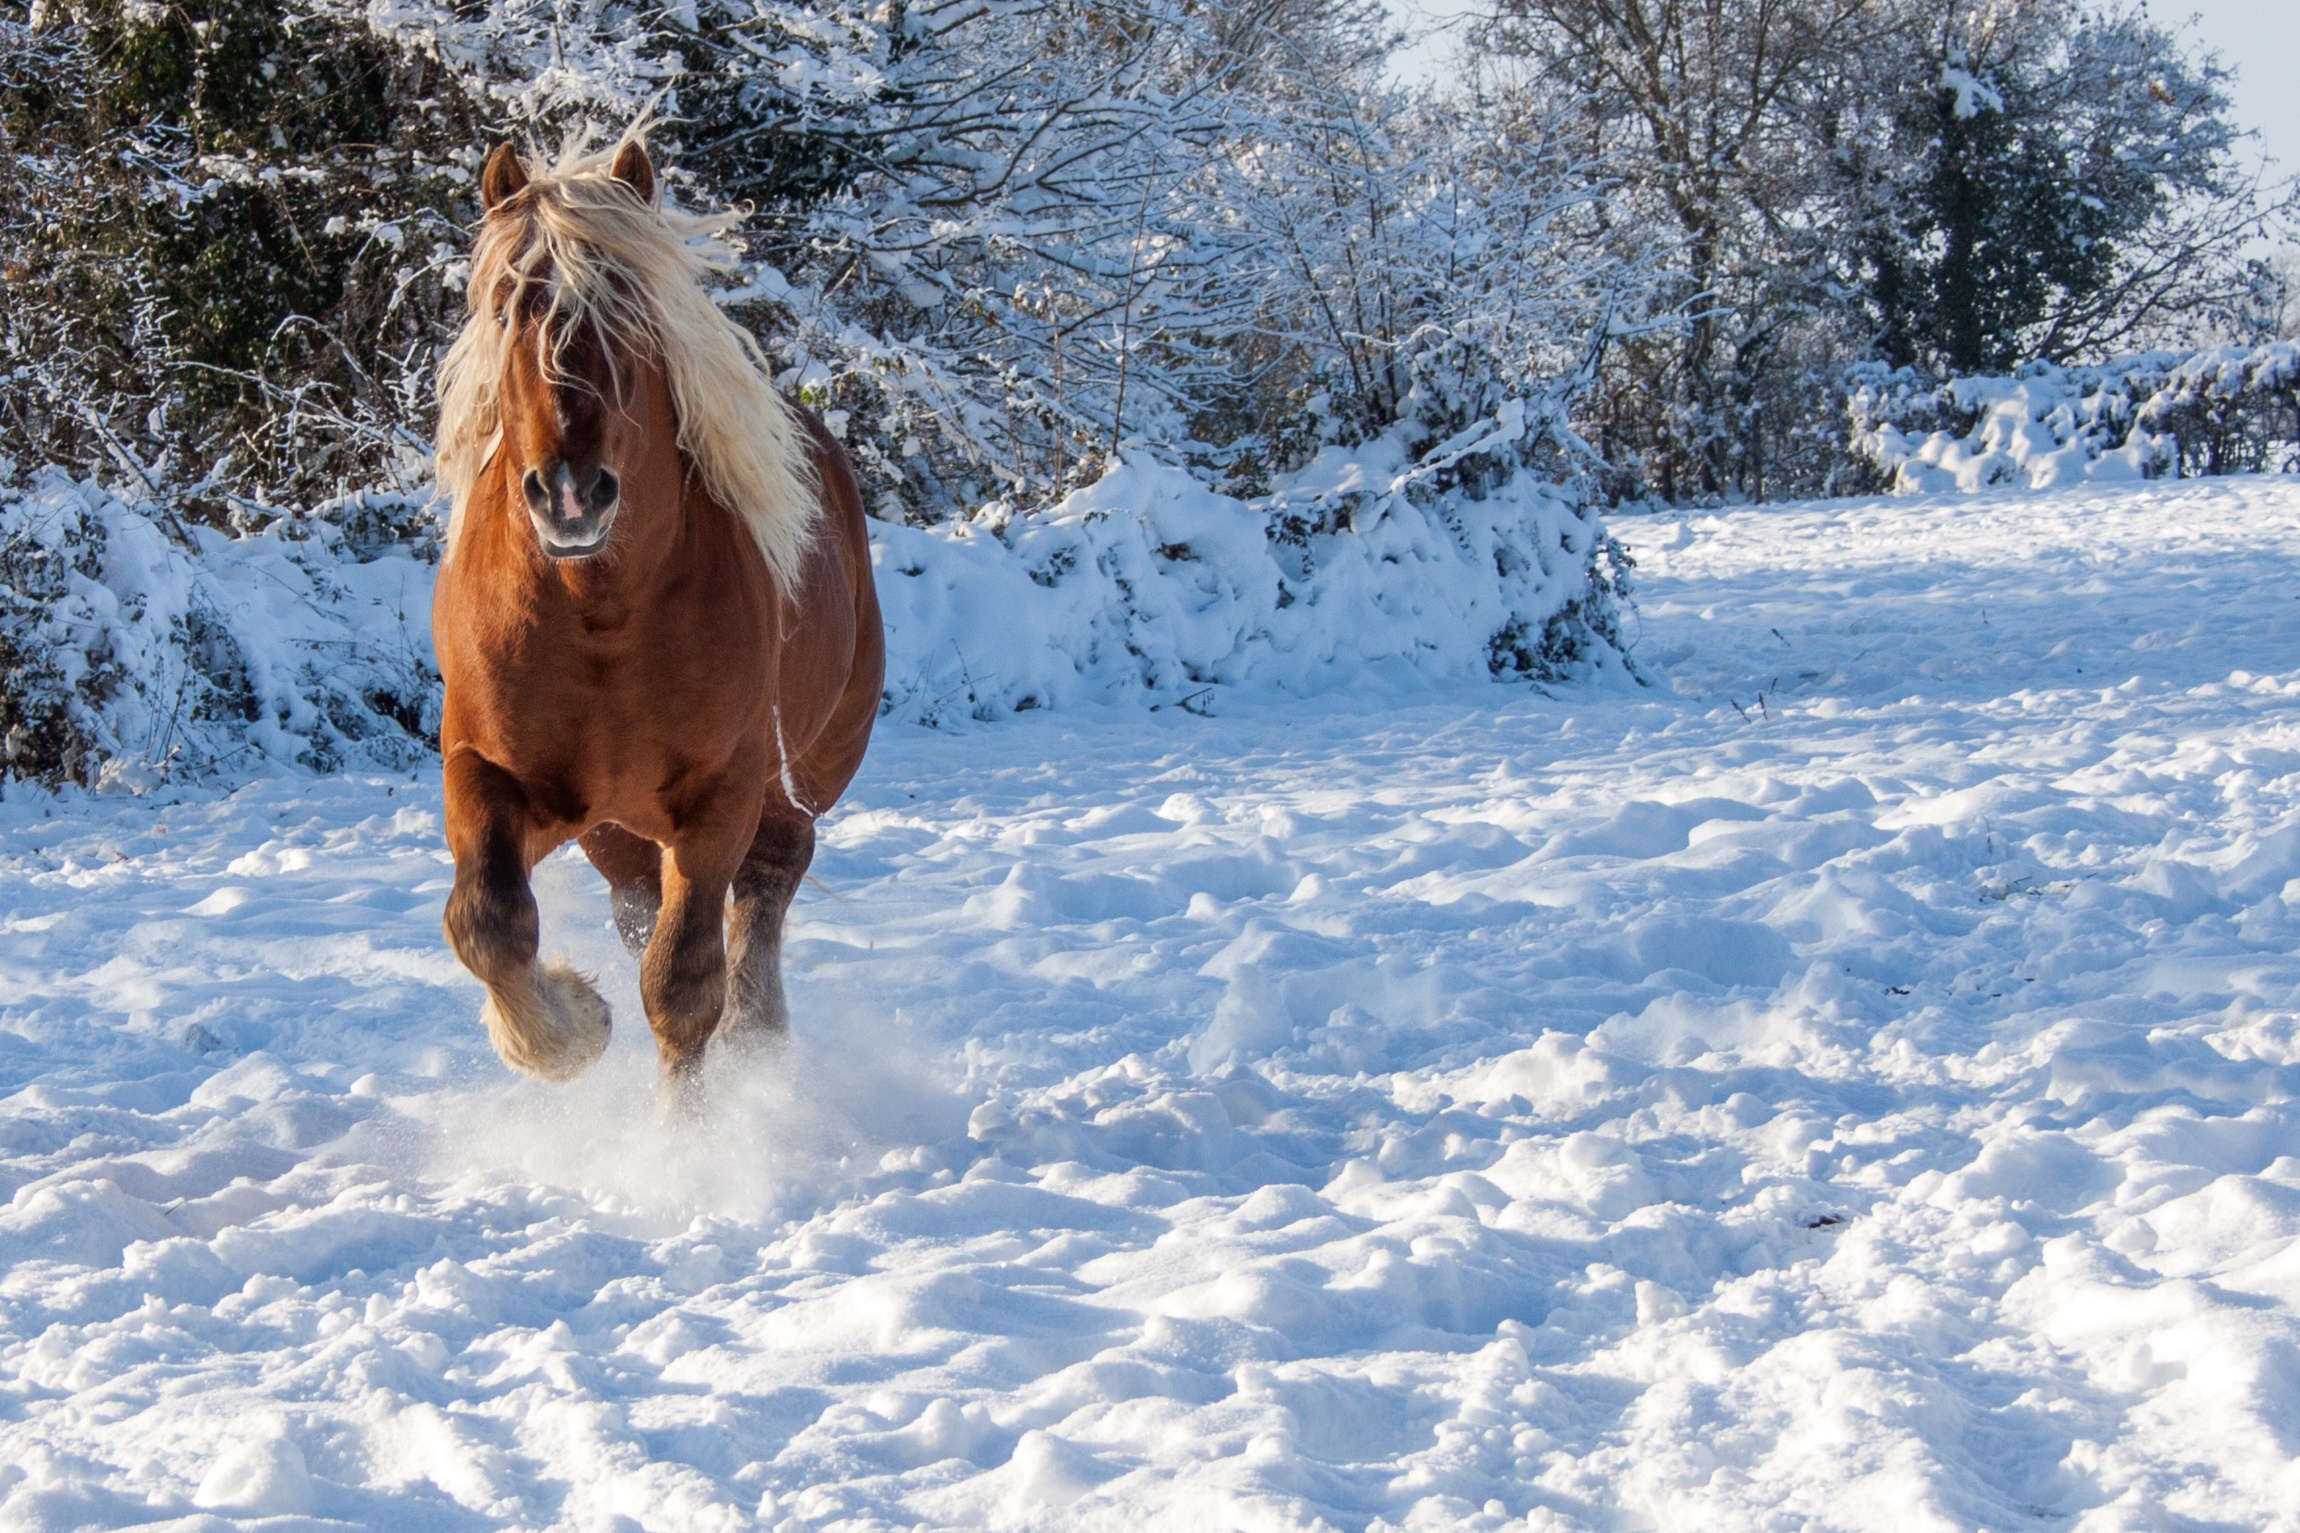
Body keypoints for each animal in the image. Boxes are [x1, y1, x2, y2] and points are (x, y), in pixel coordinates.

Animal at [427, 132, 883, 1107]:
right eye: (504, 306)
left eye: (628, 309)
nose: (571, 493)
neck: (600, 618)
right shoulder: (486, 769)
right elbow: (489, 922)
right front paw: (569, 1026)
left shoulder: (719, 798)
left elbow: (682, 986)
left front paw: (691, 1135)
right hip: (616, 828)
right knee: (642, 908)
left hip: (795, 779)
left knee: (768, 888)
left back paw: (758, 1038)